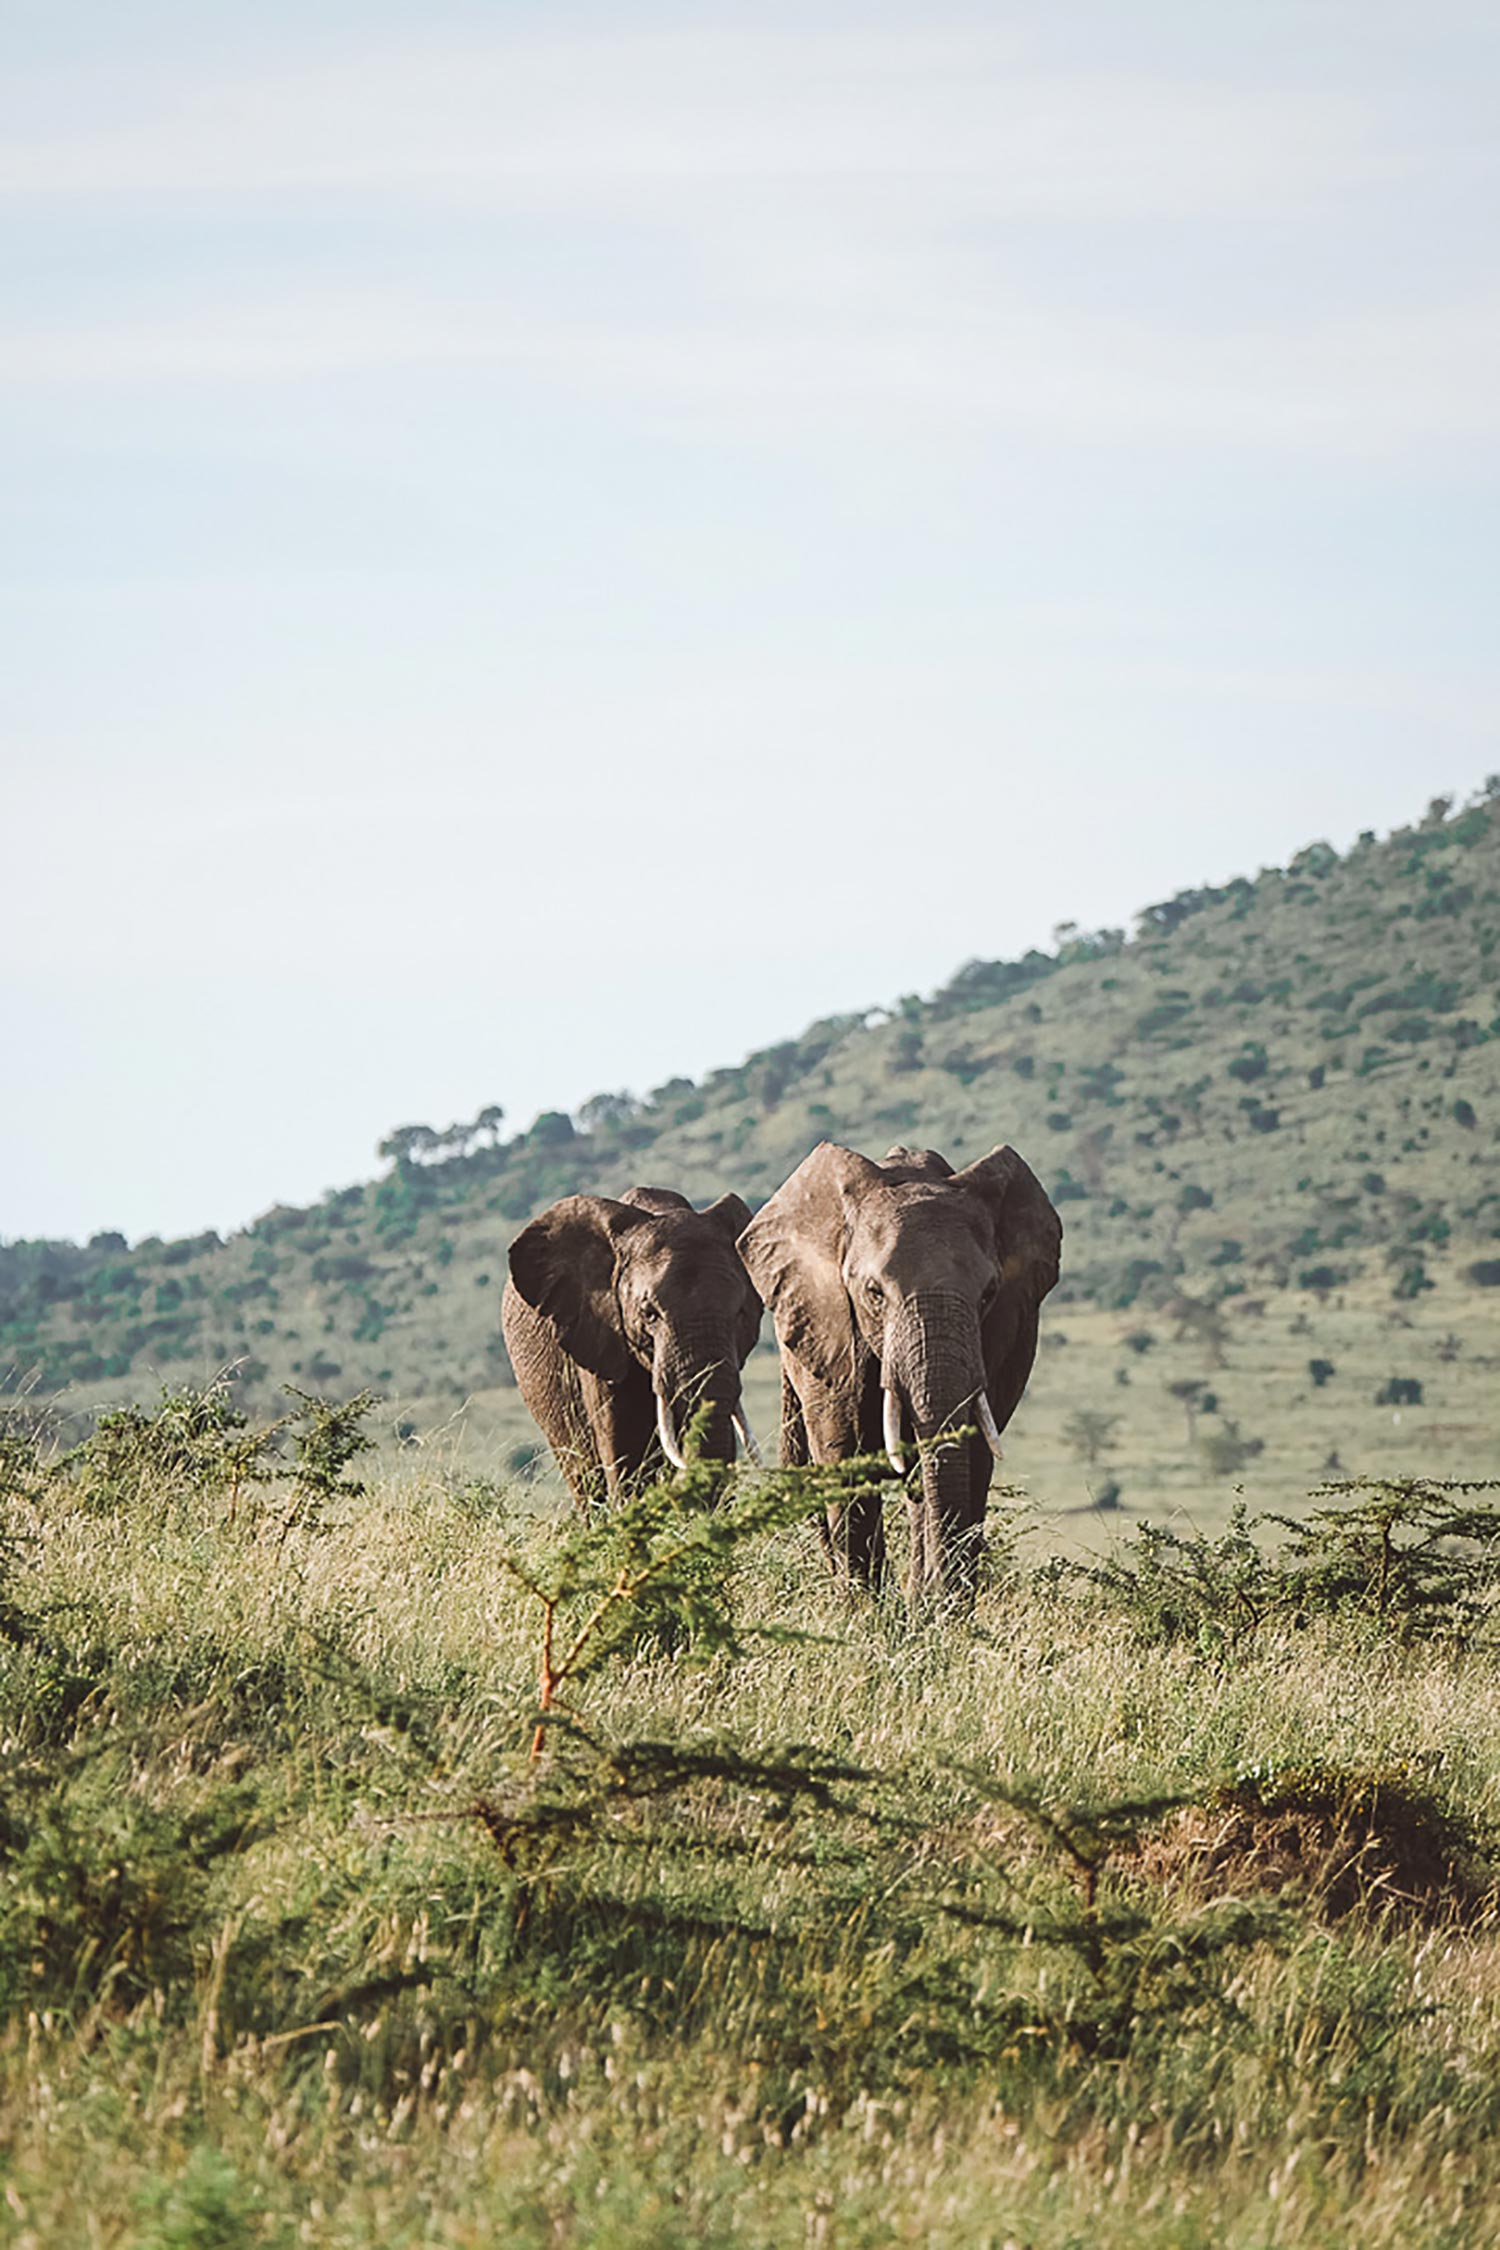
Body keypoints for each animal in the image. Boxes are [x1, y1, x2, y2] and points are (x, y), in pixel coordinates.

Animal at [737, 1143, 1061, 1602]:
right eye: (874, 1293)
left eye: (989, 1294)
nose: (944, 1594)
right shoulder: (831, 1328)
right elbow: (845, 1458)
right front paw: (867, 1612)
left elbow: (969, 1458)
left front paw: (937, 1610)